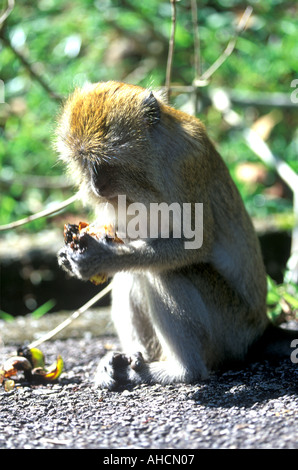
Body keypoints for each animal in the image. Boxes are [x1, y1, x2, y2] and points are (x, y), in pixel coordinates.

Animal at [54, 80, 288, 390]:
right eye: (83, 160)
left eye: (106, 161)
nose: (96, 186)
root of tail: (260, 331)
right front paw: (69, 254)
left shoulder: (185, 167)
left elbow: (194, 246)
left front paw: (99, 257)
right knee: (132, 274)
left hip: (232, 328)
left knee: (168, 272)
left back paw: (180, 371)